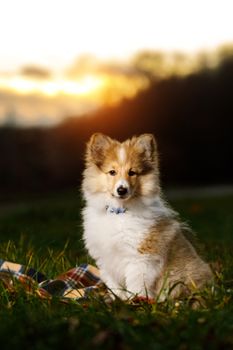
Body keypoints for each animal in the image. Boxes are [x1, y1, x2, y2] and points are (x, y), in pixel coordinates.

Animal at [82, 134, 213, 300]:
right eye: (112, 172)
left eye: (132, 172)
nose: (122, 190)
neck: (120, 212)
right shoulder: (106, 258)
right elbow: (114, 286)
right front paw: (118, 300)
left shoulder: (141, 258)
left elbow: (136, 285)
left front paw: (135, 302)